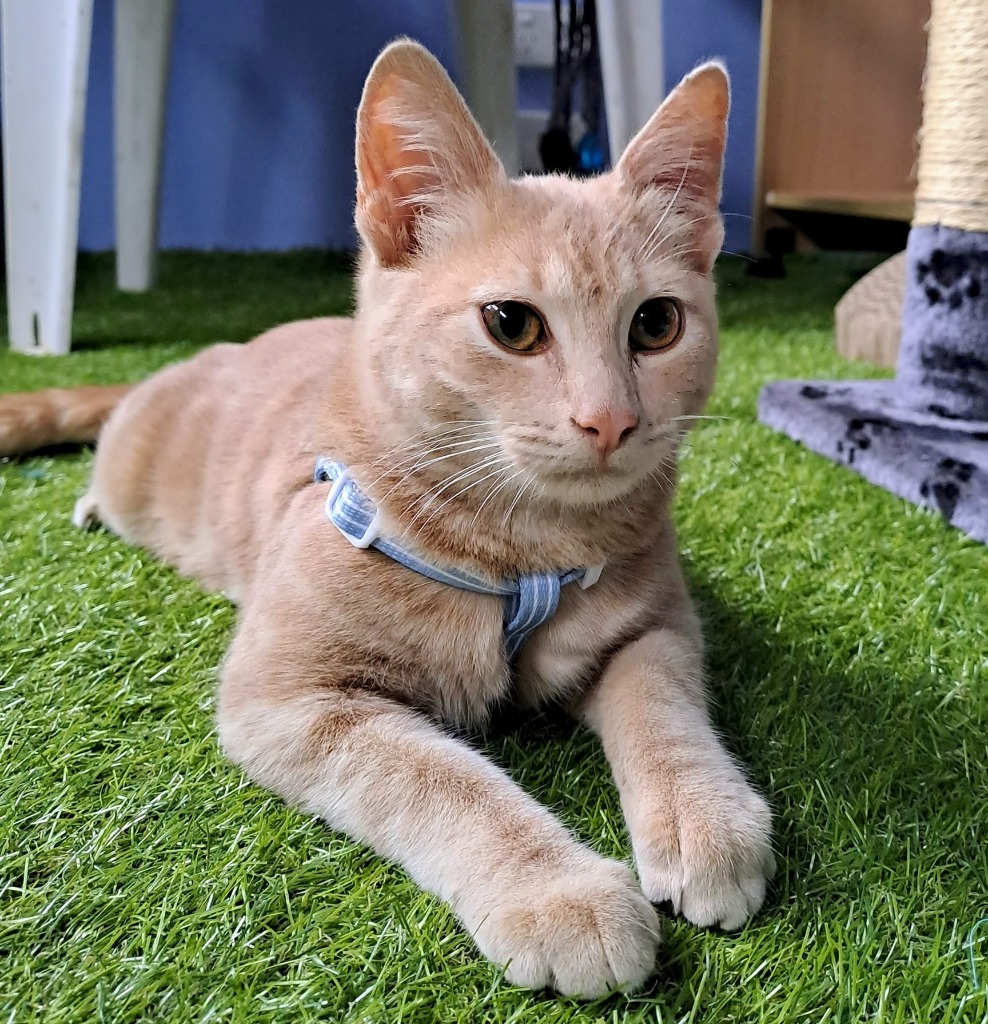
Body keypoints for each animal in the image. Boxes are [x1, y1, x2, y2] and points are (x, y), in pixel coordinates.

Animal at [0, 40, 774, 997]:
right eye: (512, 324)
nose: (611, 420)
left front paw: (706, 818)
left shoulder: (655, 626)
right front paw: (557, 892)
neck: (521, 555)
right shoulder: (292, 700)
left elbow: (664, 708)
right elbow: (439, 777)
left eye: (657, 323)